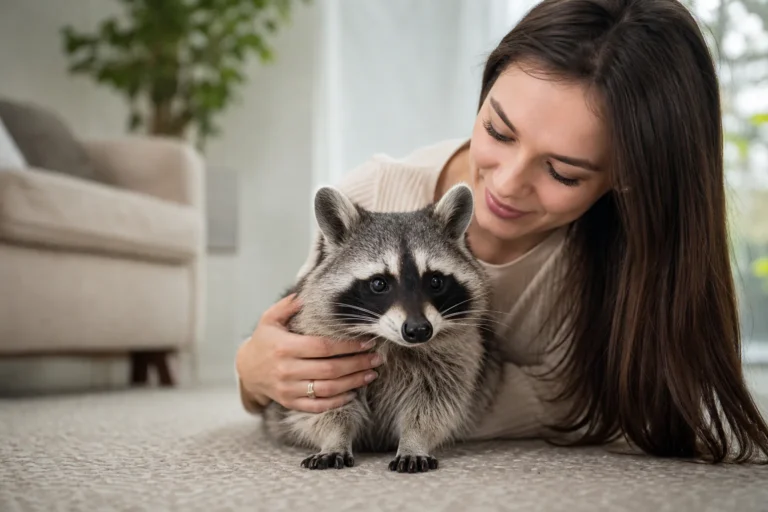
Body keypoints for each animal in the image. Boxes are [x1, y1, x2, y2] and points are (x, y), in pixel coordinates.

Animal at [263, 183, 504, 473]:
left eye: (435, 281)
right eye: (379, 284)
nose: (419, 330)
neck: (389, 342)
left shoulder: (456, 354)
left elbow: (434, 404)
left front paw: (414, 441)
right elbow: (327, 408)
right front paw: (334, 438)